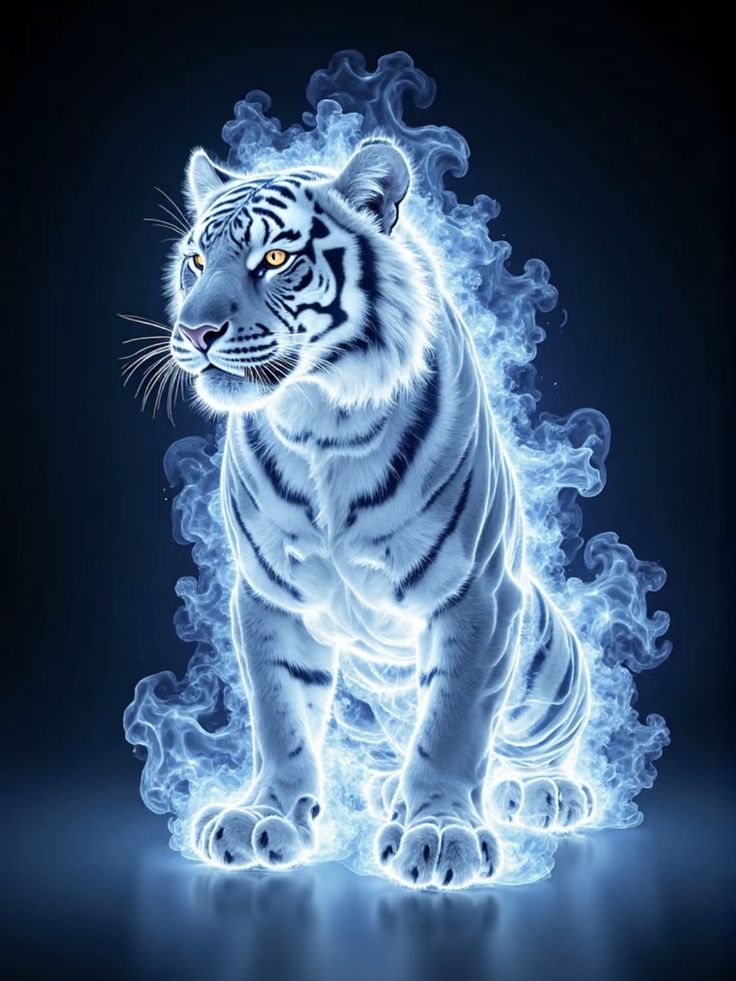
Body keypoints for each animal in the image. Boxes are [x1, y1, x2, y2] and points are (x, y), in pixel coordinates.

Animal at [164, 138, 593, 889]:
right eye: (195, 261)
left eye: (274, 258)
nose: (194, 329)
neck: (318, 423)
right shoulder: (271, 597)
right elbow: (280, 714)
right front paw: (262, 818)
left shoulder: (476, 594)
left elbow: (453, 724)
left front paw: (442, 833)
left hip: (546, 658)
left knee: (530, 742)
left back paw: (541, 789)